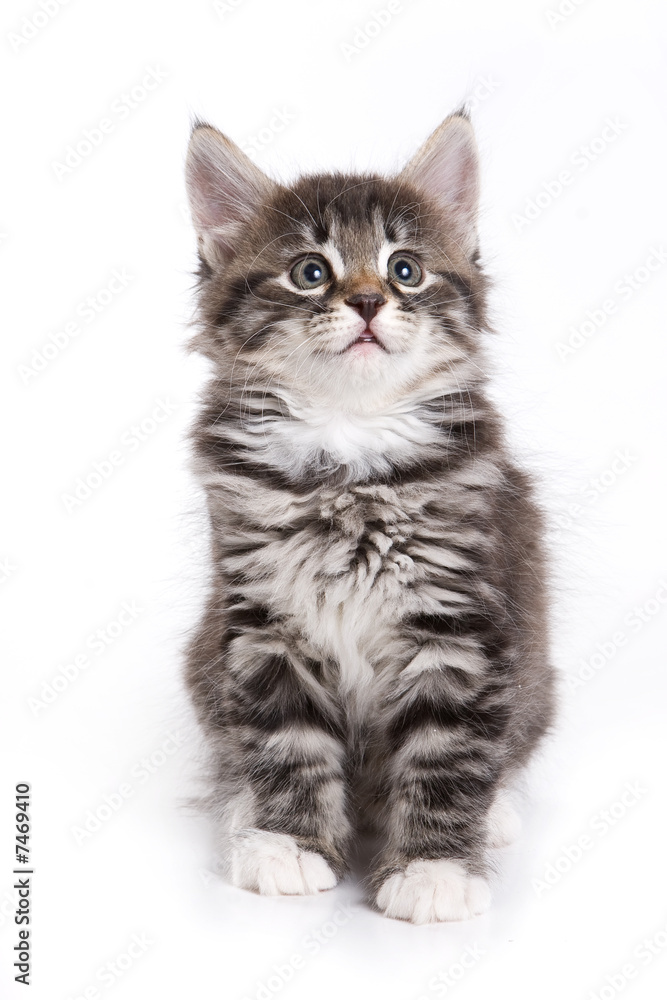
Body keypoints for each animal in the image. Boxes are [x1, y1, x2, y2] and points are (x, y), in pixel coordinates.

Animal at [184, 113, 560, 924]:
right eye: (310, 272)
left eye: (405, 270)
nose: (365, 302)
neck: (347, 449)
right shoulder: (262, 622)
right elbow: (286, 743)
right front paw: (288, 842)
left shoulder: (458, 626)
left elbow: (447, 755)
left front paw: (432, 868)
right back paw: (244, 812)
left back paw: (496, 813)